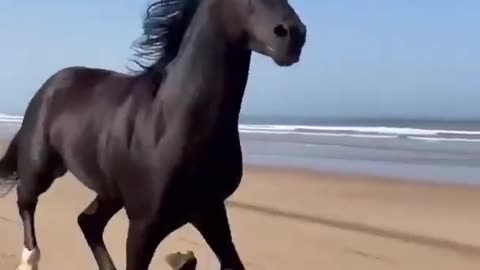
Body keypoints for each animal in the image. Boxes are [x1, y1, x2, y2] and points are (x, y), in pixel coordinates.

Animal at [0, 0, 306, 268]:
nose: (293, 35)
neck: (175, 121)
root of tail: (51, 83)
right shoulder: (144, 225)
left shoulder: (209, 211)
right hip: (42, 166)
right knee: (27, 200)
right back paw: (28, 260)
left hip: (111, 192)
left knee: (88, 222)